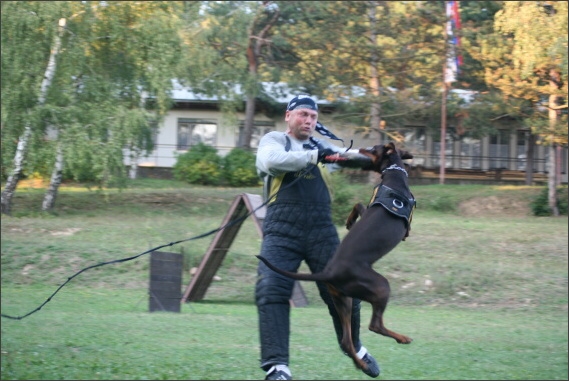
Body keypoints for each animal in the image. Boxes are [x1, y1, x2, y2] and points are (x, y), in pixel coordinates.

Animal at [256, 142, 412, 374]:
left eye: (371, 149)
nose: (359, 149)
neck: (395, 174)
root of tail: (328, 272)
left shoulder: (368, 207)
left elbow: (357, 204)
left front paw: (349, 221)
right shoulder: (405, 228)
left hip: (343, 300)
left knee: (347, 341)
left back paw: (361, 364)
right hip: (380, 286)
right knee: (374, 325)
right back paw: (402, 338)